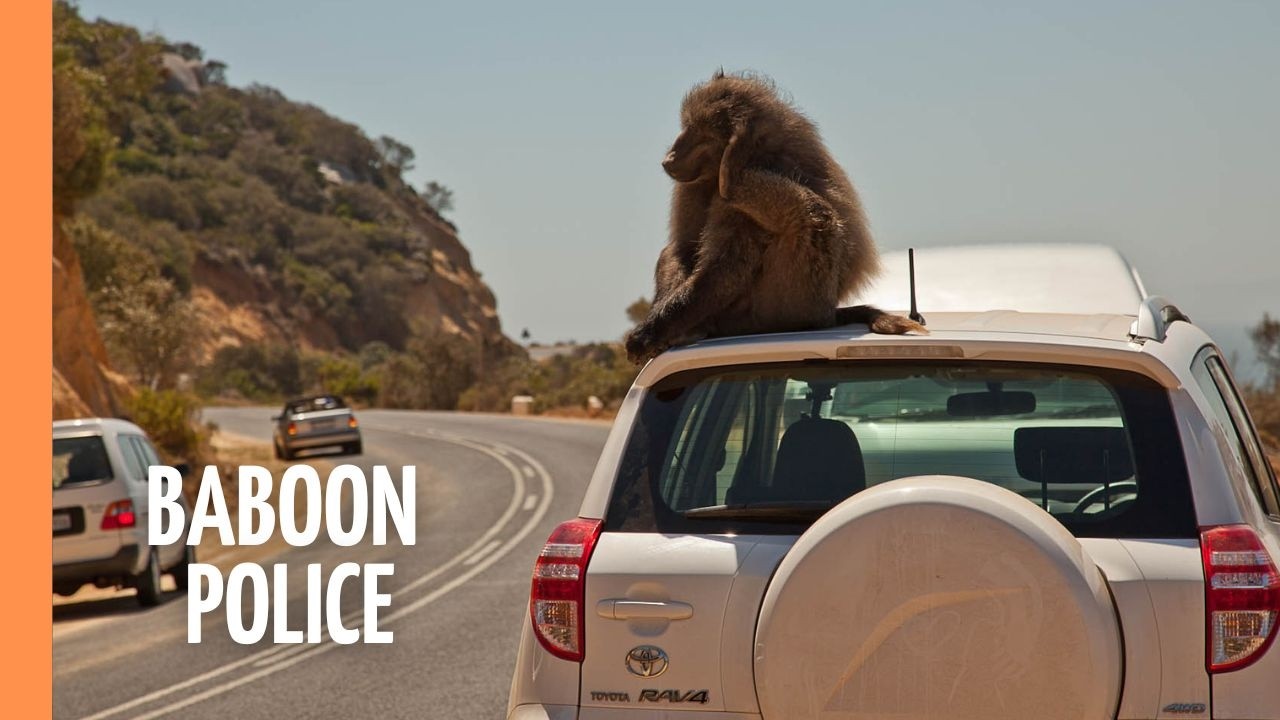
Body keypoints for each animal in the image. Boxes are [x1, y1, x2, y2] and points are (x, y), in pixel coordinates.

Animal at [624, 71, 924, 364]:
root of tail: (828, 313)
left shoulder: (738, 181)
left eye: (704, 135)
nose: (669, 159)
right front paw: (656, 328)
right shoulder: (692, 184)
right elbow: (682, 248)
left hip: (789, 302)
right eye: (688, 126)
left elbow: (726, 267)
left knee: (813, 217)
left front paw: (649, 334)